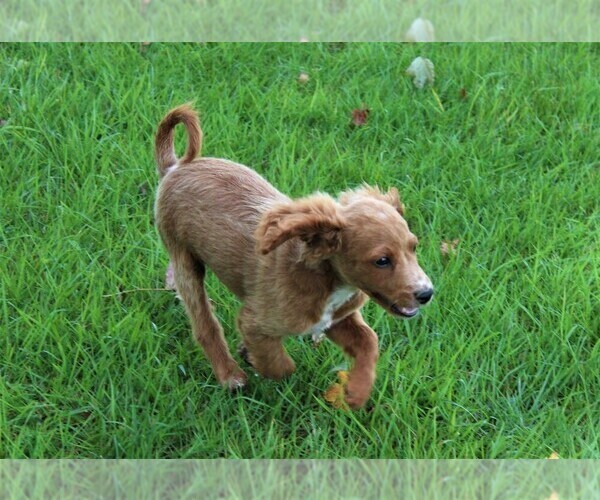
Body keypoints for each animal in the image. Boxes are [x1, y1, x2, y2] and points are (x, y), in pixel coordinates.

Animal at [155, 103, 434, 408]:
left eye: (413, 247)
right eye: (382, 261)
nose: (427, 294)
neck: (326, 280)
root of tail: (177, 167)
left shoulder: (336, 320)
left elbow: (368, 341)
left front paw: (356, 392)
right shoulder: (255, 320)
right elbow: (280, 365)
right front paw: (254, 356)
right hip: (184, 260)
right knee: (205, 324)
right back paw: (230, 375)